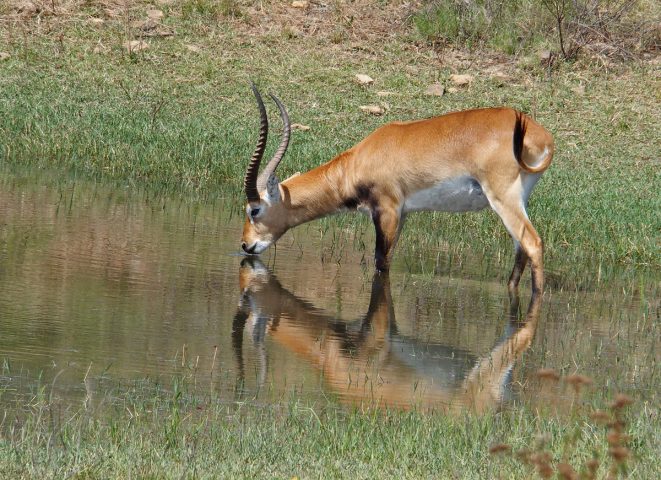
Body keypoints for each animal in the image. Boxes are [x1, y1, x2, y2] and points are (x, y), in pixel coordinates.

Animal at [241, 84, 552, 292]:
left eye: (254, 210)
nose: (246, 245)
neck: (359, 160)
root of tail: (541, 136)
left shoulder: (387, 211)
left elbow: (381, 262)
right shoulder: (403, 215)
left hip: (503, 199)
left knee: (533, 243)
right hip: (517, 201)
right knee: (520, 249)